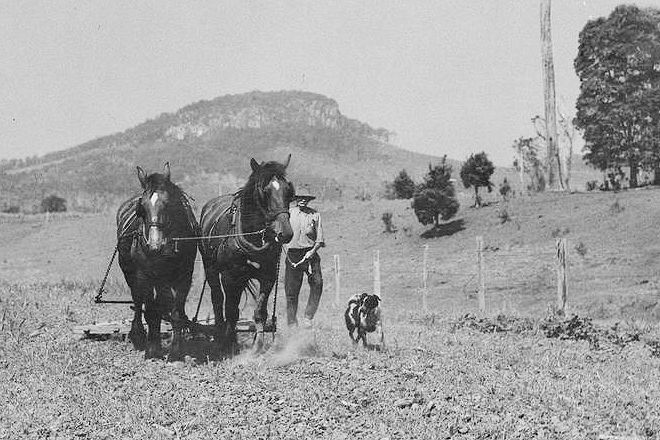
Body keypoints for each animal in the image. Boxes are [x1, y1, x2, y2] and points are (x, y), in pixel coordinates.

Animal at [116, 163, 199, 360]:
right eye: (142, 207)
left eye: (168, 204)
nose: (155, 245)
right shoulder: (144, 275)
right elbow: (151, 310)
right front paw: (152, 349)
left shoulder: (184, 275)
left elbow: (175, 312)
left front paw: (176, 352)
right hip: (131, 273)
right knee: (139, 301)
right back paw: (139, 335)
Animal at [199, 156, 294, 352]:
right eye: (265, 191)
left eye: (289, 190)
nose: (286, 233)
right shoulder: (230, 277)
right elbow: (231, 310)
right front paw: (229, 343)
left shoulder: (268, 277)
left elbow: (260, 312)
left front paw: (258, 345)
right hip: (211, 268)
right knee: (218, 299)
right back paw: (220, 333)